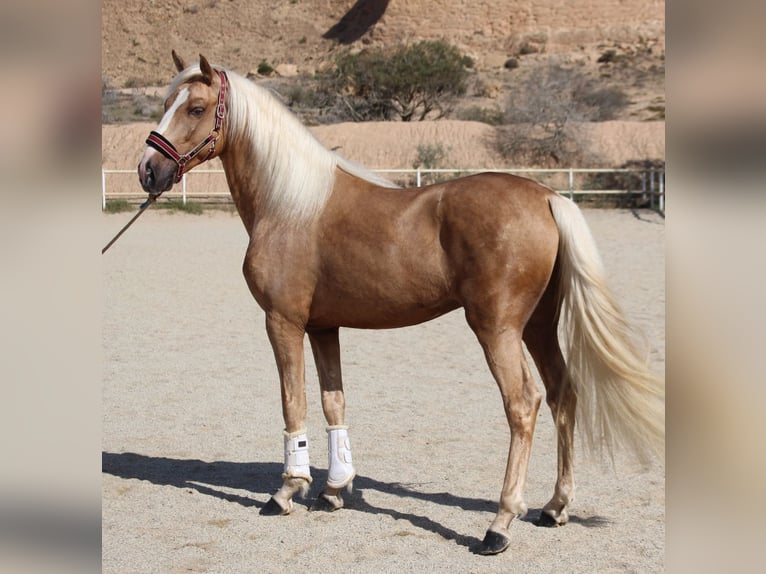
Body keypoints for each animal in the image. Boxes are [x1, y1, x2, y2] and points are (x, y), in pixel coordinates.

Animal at [138, 55, 664, 560]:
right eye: (166, 102)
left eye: (196, 108)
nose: (148, 170)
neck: (291, 205)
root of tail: (548, 197)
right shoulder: (324, 327)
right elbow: (333, 401)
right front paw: (334, 489)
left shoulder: (283, 322)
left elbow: (293, 402)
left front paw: (287, 491)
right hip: (537, 325)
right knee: (562, 393)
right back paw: (555, 507)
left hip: (497, 328)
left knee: (523, 404)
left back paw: (499, 524)